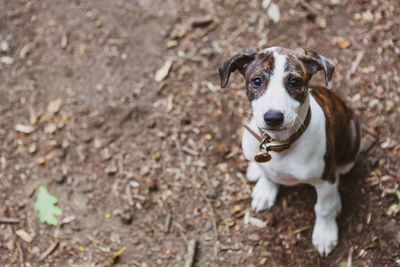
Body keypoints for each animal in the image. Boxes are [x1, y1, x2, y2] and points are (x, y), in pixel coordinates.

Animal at [219, 47, 362, 256]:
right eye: (257, 81)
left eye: (294, 82)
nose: (273, 117)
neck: (278, 144)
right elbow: (268, 175)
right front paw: (265, 190)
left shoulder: (324, 179)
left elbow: (324, 207)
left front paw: (325, 233)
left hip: (351, 146)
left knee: (339, 174)